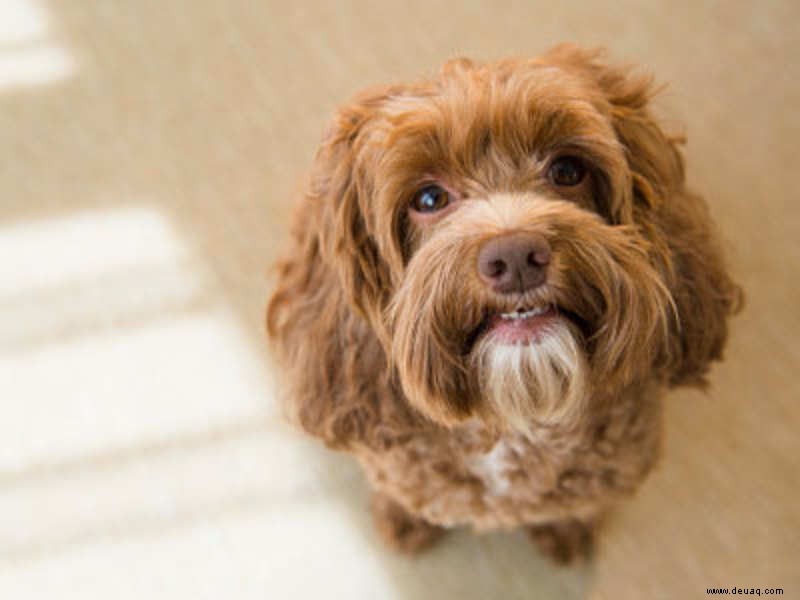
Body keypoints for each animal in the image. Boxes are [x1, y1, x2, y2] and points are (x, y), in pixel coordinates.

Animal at [266, 45, 740, 564]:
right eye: (428, 198)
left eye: (567, 170)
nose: (516, 258)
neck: (516, 415)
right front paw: (404, 521)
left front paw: (566, 531)